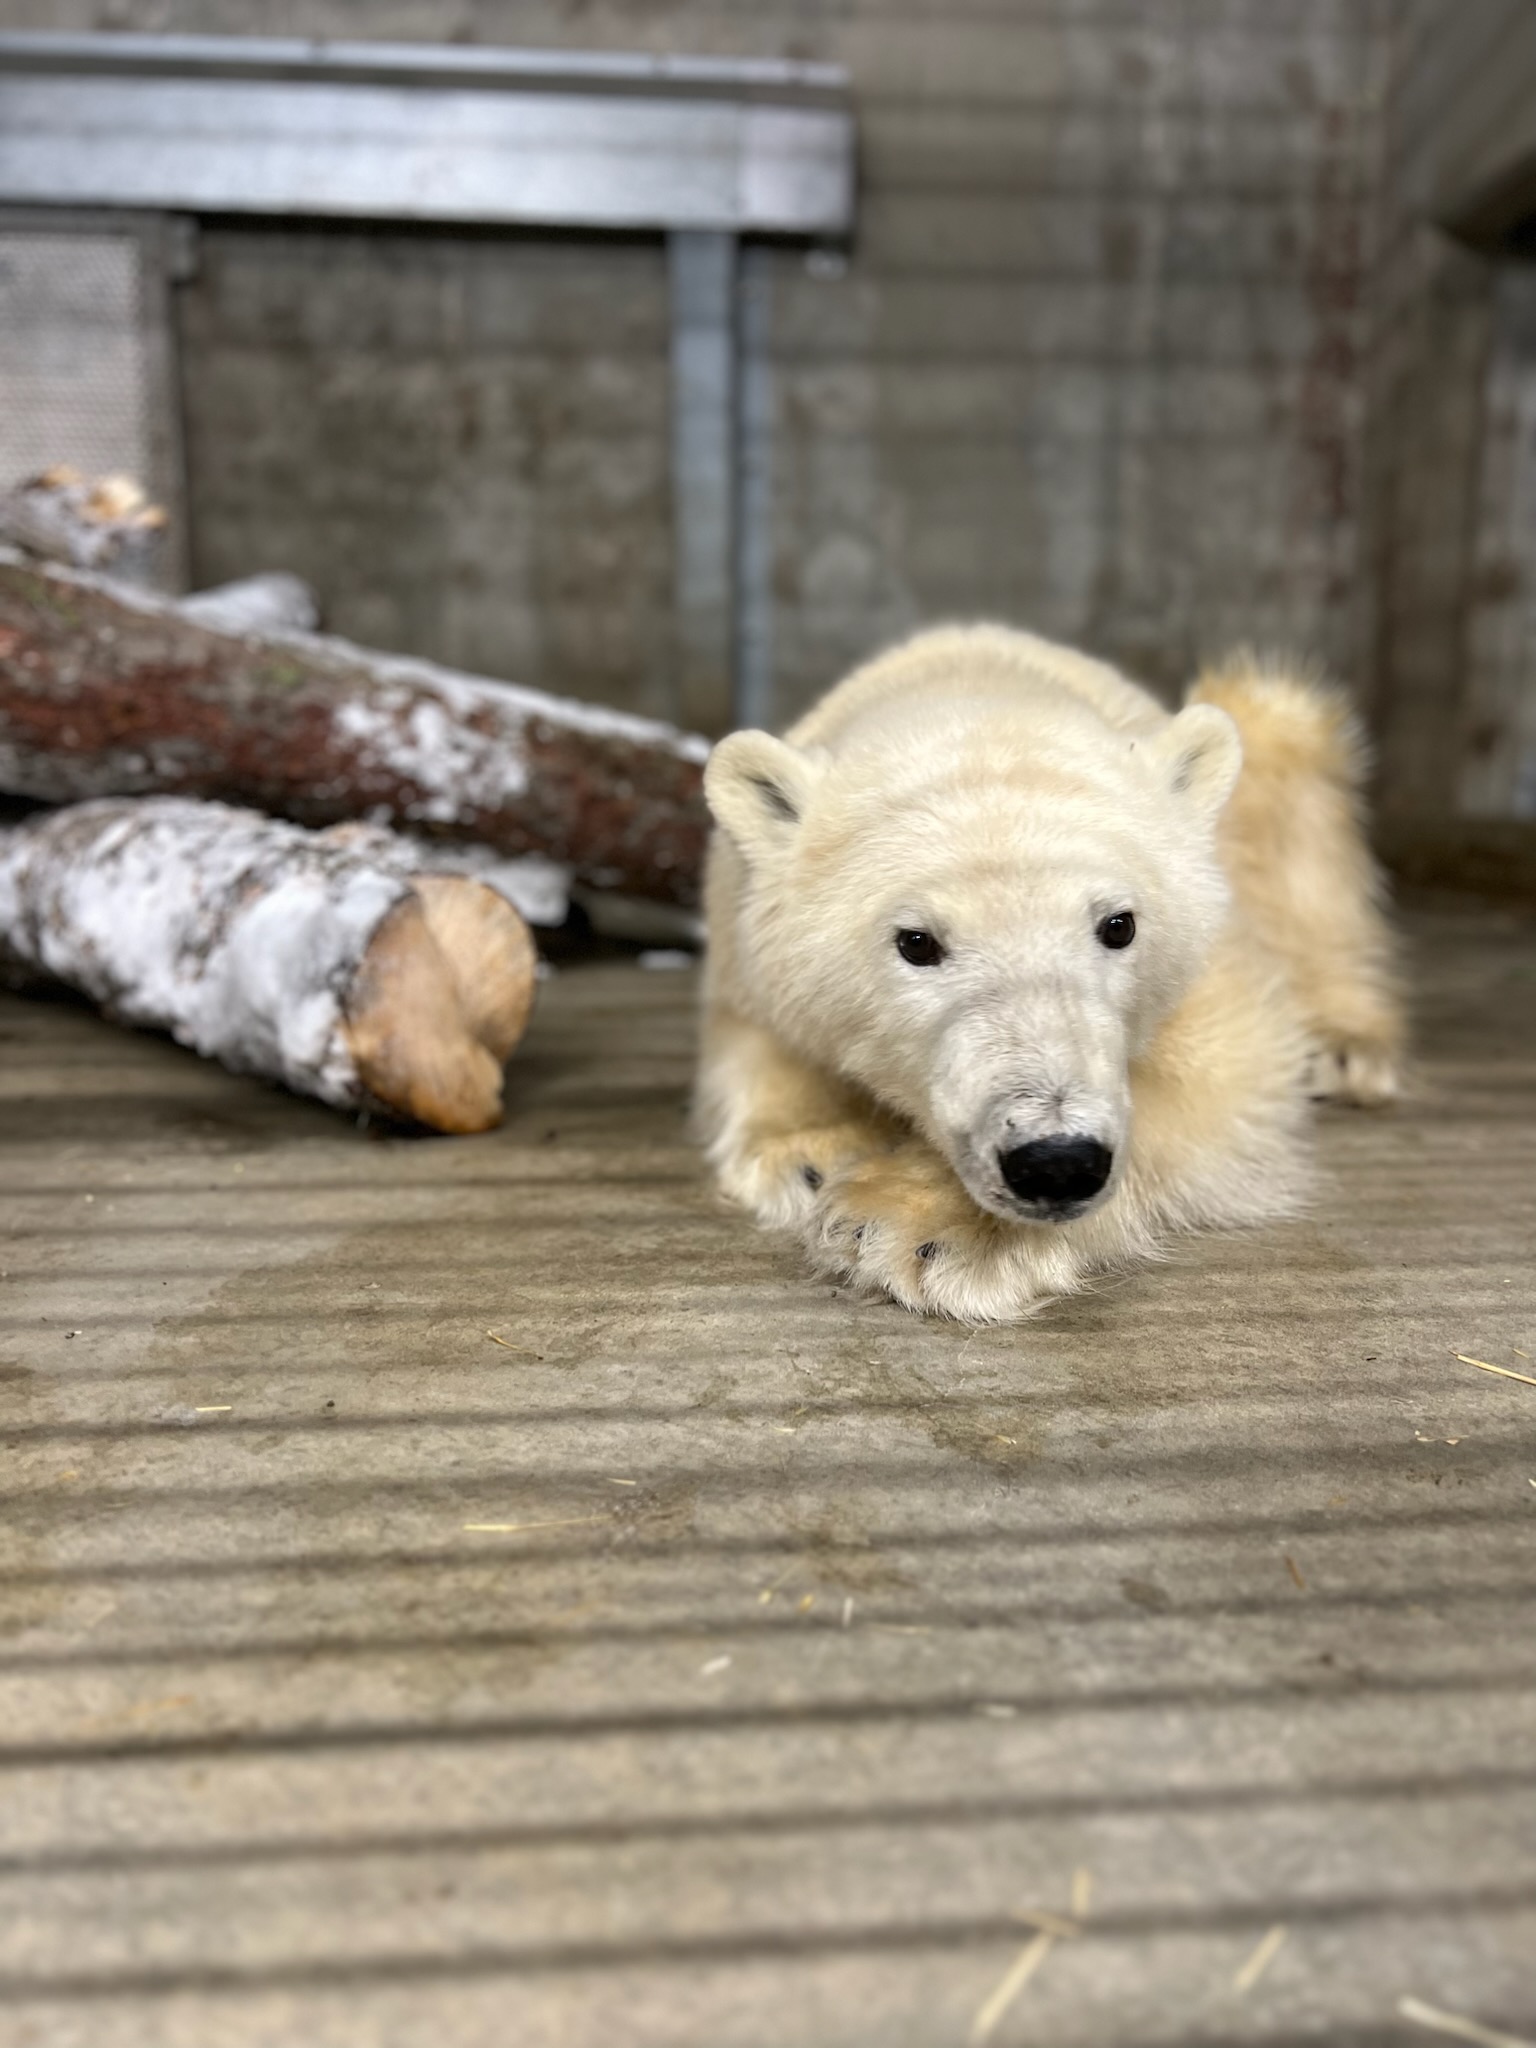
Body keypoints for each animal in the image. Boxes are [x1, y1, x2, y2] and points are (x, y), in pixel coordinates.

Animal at [696, 623, 1403, 1323]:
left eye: (1119, 925)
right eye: (917, 942)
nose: (1056, 1163)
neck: (977, 679)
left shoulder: (1214, 952)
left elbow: (1222, 1076)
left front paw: (917, 1225)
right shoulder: (742, 930)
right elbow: (761, 1031)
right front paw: (810, 1153)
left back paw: (1345, 1046)